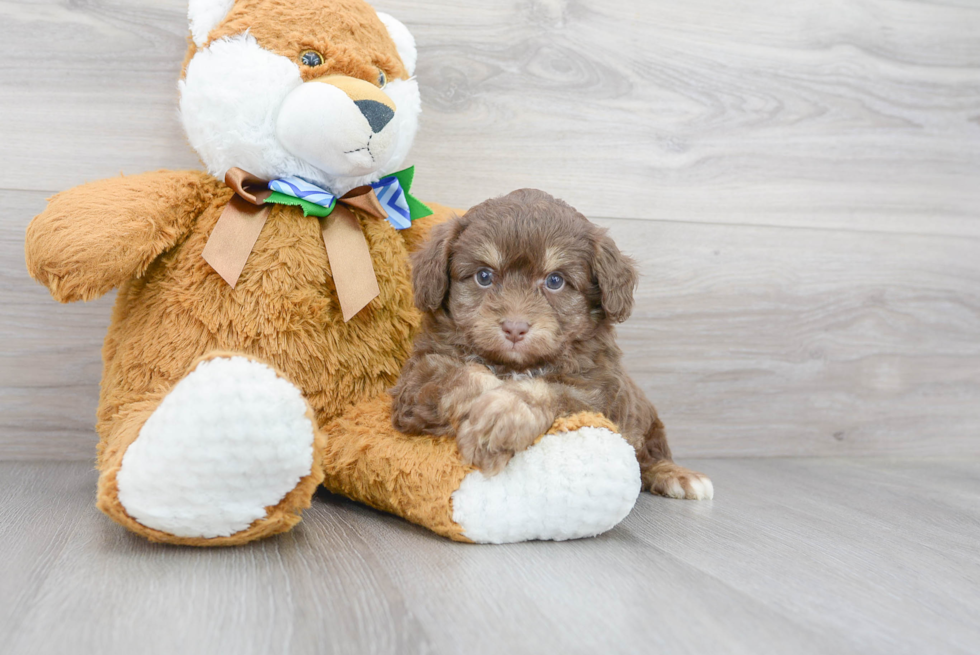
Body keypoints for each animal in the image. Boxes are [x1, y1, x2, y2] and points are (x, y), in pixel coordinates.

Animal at [390, 190, 712, 502]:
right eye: (484, 276)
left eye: (555, 281)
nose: (515, 327)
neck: (515, 364)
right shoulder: (417, 377)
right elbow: (460, 375)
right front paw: (490, 397)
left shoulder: (596, 393)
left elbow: (549, 391)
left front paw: (502, 415)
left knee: (649, 458)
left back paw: (678, 476)